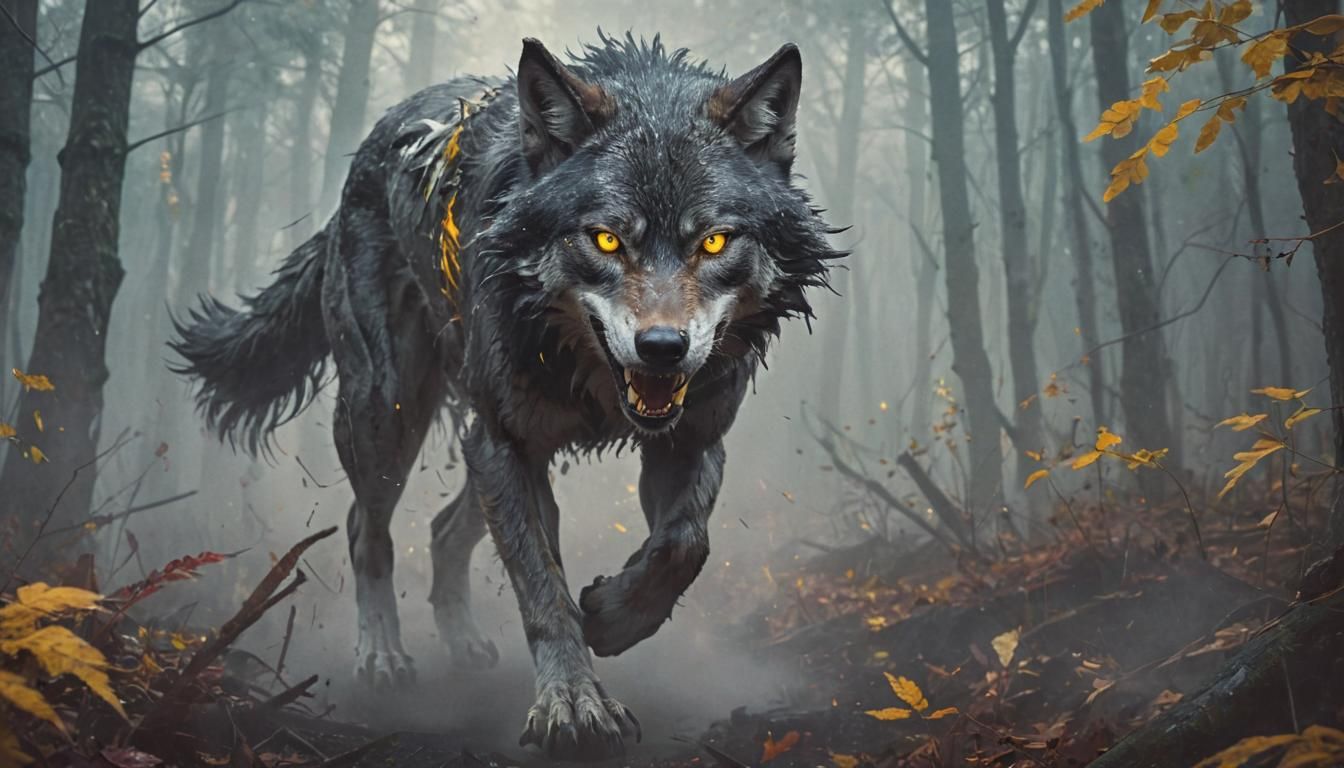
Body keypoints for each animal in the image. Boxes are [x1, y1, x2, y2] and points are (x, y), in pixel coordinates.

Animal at [172, 34, 839, 758]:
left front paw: (614, 618)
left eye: (714, 241)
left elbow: (683, 544)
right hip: (390, 415)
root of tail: (368, 150)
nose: (663, 347)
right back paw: (382, 657)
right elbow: (543, 590)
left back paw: (465, 645)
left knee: (442, 530)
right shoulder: (510, 447)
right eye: (606, 239)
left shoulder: (691, 440)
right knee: (364, 527)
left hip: (476, 443)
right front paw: (573, 707)